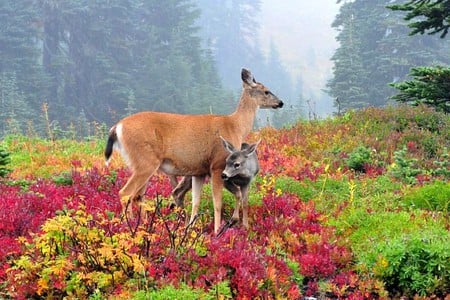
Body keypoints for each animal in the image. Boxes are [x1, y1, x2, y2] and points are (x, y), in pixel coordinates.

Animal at [103, 68, 284, 234]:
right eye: (266, 91)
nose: (281, 102)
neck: (235, 126)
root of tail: (117, 127)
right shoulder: (217, 165)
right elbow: (217, 202)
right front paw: (217, 231)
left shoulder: (199, 172)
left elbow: (196, 201)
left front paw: (190, 229)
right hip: (145, 161)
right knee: (126, 193)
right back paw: (129, 227)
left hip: (140, 164)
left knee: (139, 196)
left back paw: (143, 226)